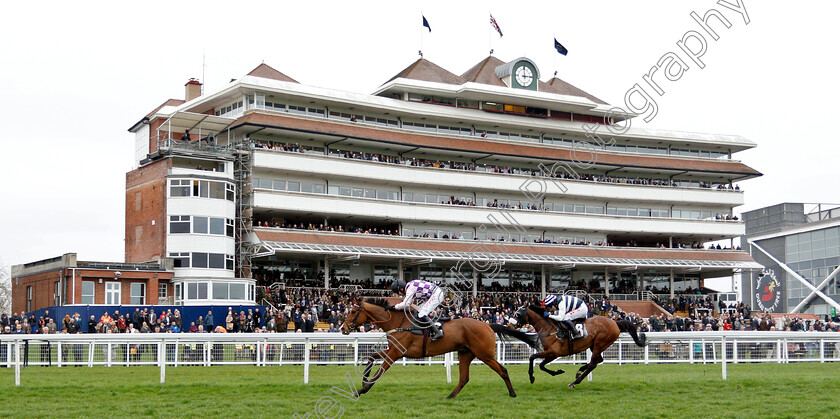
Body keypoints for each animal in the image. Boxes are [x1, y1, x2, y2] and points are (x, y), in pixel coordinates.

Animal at [342, 296, 540, 398]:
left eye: (353, 311)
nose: (343, 328)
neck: (400, 322)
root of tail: (487, 325)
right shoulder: (393, 351)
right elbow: (371, 357)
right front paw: (363, 381)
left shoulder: (396, 353)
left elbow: (380, 371)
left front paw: (362, 389)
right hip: (465, 354)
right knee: (464, 378)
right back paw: (450, 396)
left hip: (485, 354)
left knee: (502, 370)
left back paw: (512, 393)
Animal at [508, 306, 648, 390]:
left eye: (518, 314)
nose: (509, 324)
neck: (550, 329)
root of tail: (615, 322)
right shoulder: (551, 353)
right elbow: (541, 365)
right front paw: (557, 372)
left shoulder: (553, 353)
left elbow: (533, 358)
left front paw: (532, 377)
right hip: (594, 346)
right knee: (597, 361)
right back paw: (579, 371)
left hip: (600, 343)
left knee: (593, 364)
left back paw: (575, 382)